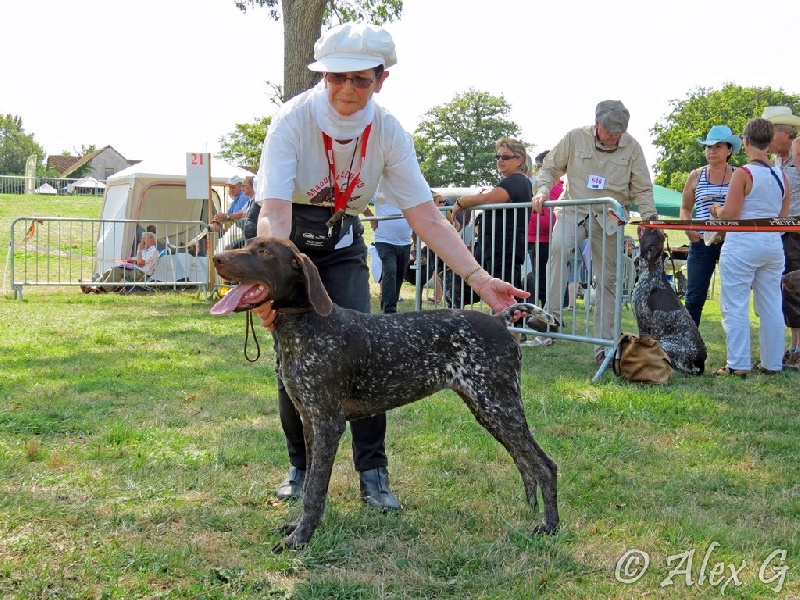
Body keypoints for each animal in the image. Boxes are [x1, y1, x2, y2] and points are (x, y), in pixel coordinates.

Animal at [212, 237, 564, 552]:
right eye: (249, 244)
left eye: (264, 252)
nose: (217, 258)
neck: (306, 327)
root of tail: (499, 320)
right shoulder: (310, 422)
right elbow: (311, 480)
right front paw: (298, 527)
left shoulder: (327, 424)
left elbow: (314, 491)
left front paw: (301, 538)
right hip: (489, 409)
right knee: (525, 462)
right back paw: (530, 510)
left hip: (498, 406)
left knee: (545, 466)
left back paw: (550, 526)